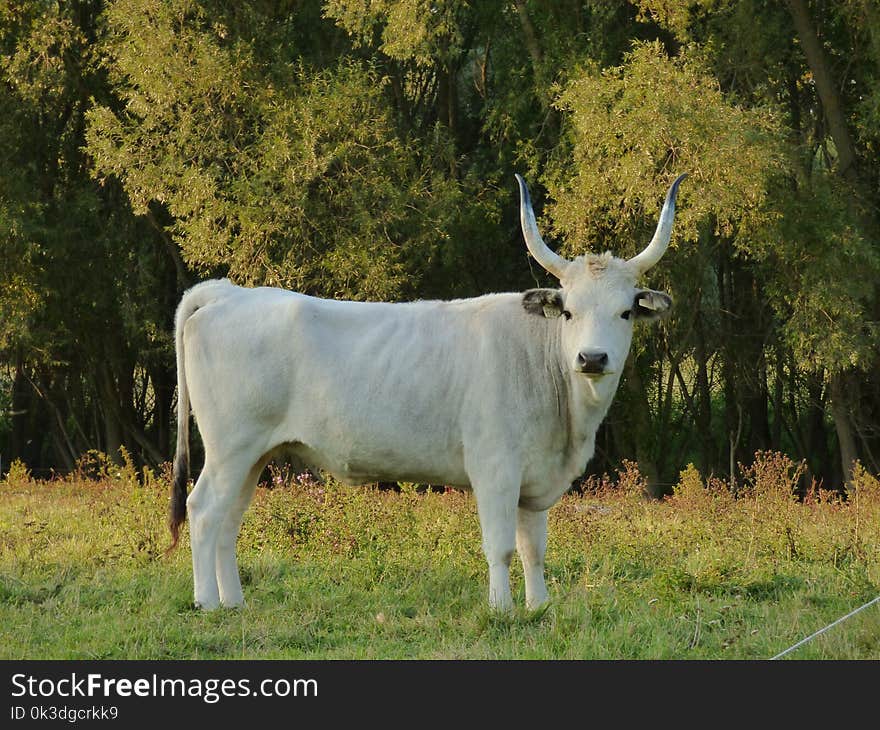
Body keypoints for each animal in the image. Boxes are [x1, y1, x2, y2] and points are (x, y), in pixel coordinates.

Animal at [167, 173, 688, 612]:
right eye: (568, 312)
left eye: (625, 312)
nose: (592, 358)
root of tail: (229, 292)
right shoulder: (494, 468)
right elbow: (501, 546)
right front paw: (501, 610)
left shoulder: (533, 479)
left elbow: (534, 548)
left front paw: (539, 607)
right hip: (230, 447)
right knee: (204, 510)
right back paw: (206, 602)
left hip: (252, 455)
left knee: (228, 520)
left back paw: (234, 602)